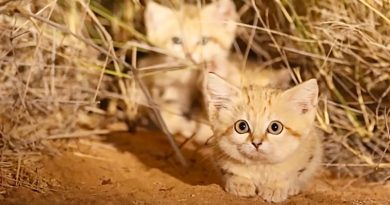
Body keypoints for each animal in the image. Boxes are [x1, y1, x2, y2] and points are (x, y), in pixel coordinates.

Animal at [206, 71, 322, 202]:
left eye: (275, 127)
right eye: (242, 126)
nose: (256, 143)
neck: (259, 166)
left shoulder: (309, 154)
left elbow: (292, 174)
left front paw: (275, 187)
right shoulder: (218, 154)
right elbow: (231, 171)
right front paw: (240, 183)